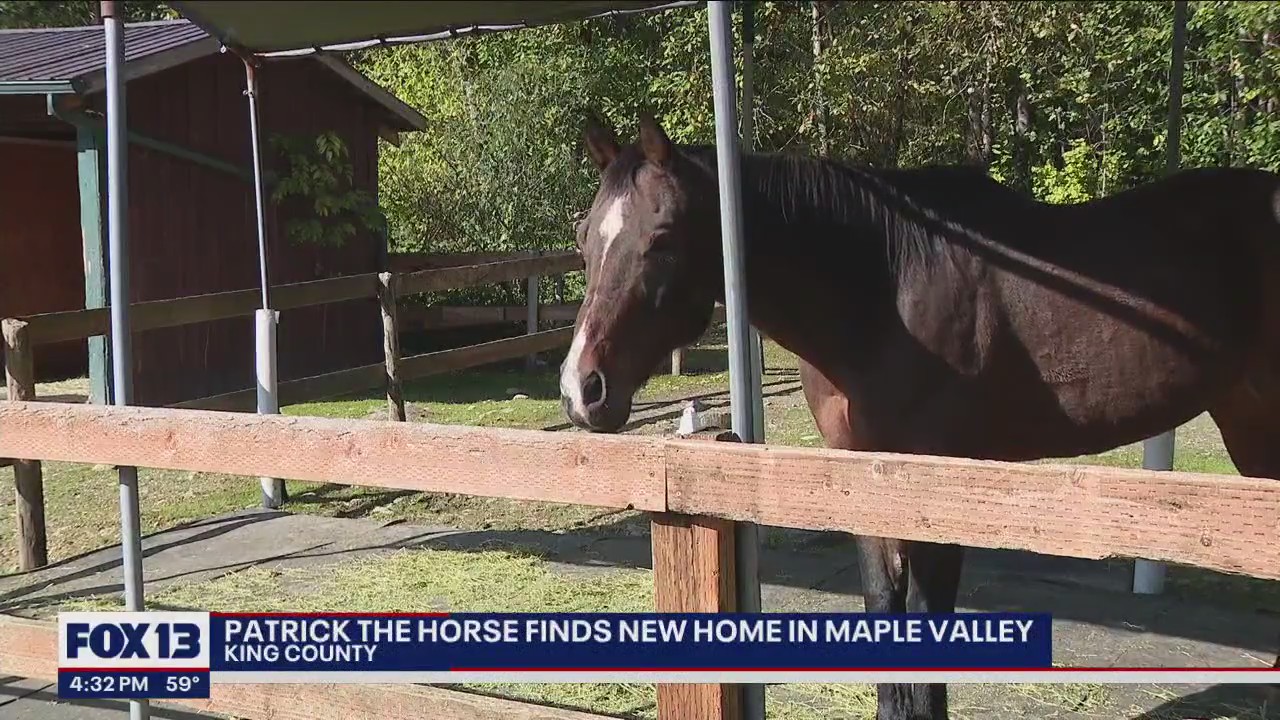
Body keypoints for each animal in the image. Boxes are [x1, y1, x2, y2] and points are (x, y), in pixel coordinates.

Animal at [558, 113, 1280, 720]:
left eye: (661, 239)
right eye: (584, 239)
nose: (581, 390)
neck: (884, 295)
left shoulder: (938, 490)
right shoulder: (863, 484)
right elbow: (886, 610)